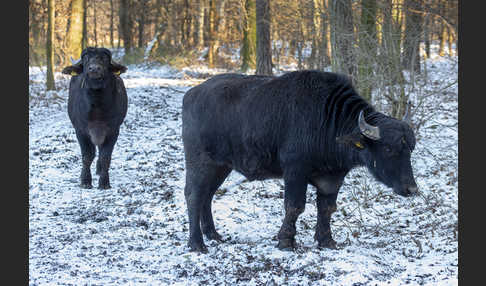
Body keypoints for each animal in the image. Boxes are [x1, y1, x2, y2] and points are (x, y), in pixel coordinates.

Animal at [62, 47, 127, 190]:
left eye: (105, 59)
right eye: (86, 58)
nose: (94, 69)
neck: (97, 106)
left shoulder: (113, 130)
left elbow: (105, 156)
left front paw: (104, 182)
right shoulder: (80, 130)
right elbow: (87, 156)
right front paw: (85, 180)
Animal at [182, 70, 418, 252]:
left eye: (410, 148)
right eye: (388, 148)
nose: (412, 189)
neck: (327, 120)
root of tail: (191, 95)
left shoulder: (332, 179)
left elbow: (327, 208)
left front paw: (326, 240)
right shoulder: (295, 171)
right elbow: (295, 206)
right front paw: (286, 241)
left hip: (221, 166)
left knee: (208, 196)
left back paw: (213, 234)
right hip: (200, 162)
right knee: (194, 195)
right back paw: (197, 243)